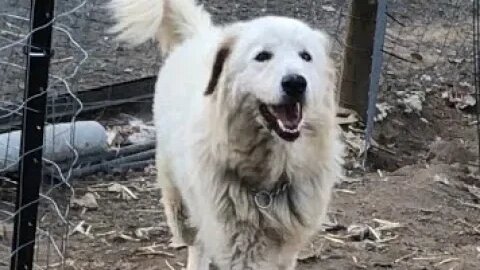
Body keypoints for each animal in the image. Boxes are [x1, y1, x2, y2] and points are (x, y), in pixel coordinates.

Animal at [109, 1, 342, 268]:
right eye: (262, 56)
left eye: (306, 56)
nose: (295, 83)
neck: (269, 181)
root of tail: (200, 34)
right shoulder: (239, 248)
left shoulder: (286, 249)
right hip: (180, 207)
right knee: (196, 241)